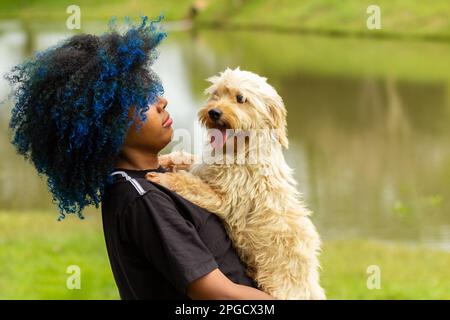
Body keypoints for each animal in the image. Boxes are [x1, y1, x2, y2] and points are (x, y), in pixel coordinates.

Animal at [148, 67, 326, 300]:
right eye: (216, 94)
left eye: (241, 98)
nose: (214, 112)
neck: (240, 150)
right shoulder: (203, 168)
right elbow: (186, 159)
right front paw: (163, 160)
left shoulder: (226, 199)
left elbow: (192, 184)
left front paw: (164, 178)